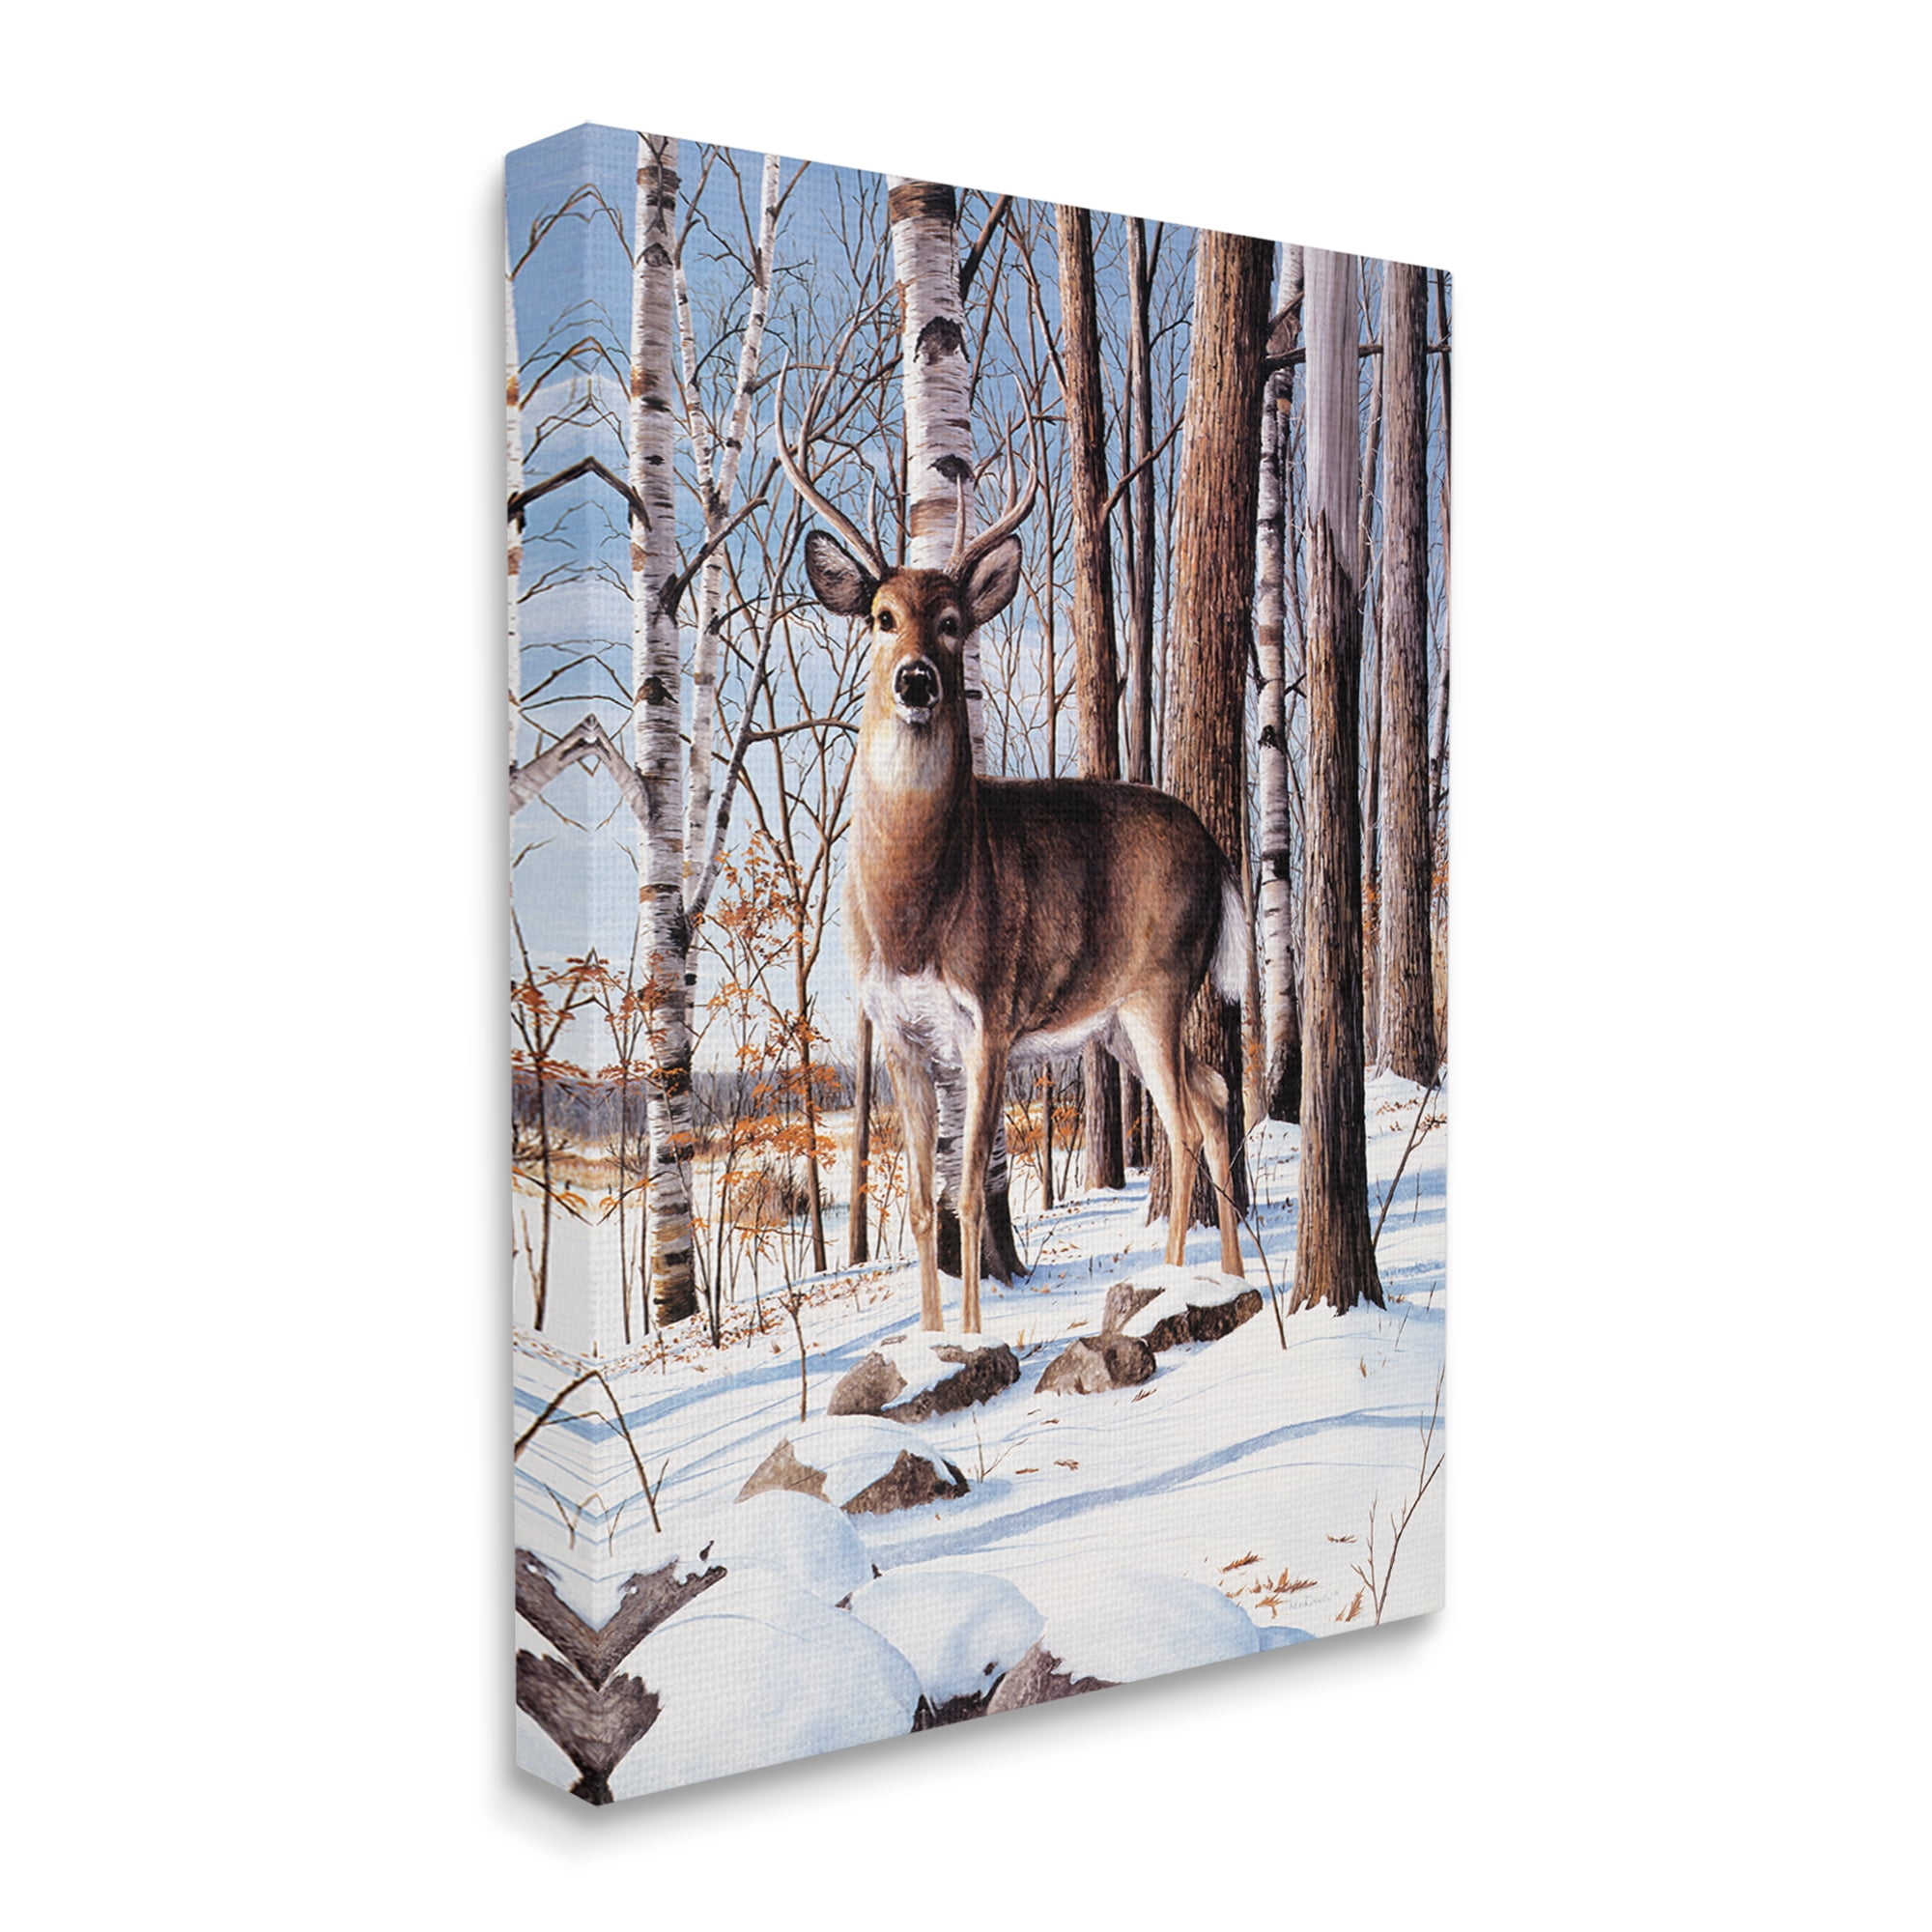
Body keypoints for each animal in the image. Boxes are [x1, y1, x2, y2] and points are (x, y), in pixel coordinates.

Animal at [776, 382, 1247, 1336]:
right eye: (882, 618)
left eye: (953, 623)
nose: (917, 679)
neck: (914, 912)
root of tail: (1222, 853)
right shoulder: (899, 1031)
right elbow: (923, 1203)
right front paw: (929, 1338)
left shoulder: (989, 1013)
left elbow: (965, 1191)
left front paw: (968, 1337)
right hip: (1119, 1017)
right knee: (1215, 1098)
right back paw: (1226, 1277)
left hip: (1160, 983)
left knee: (1184, 1128)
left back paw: (1173, 1283)